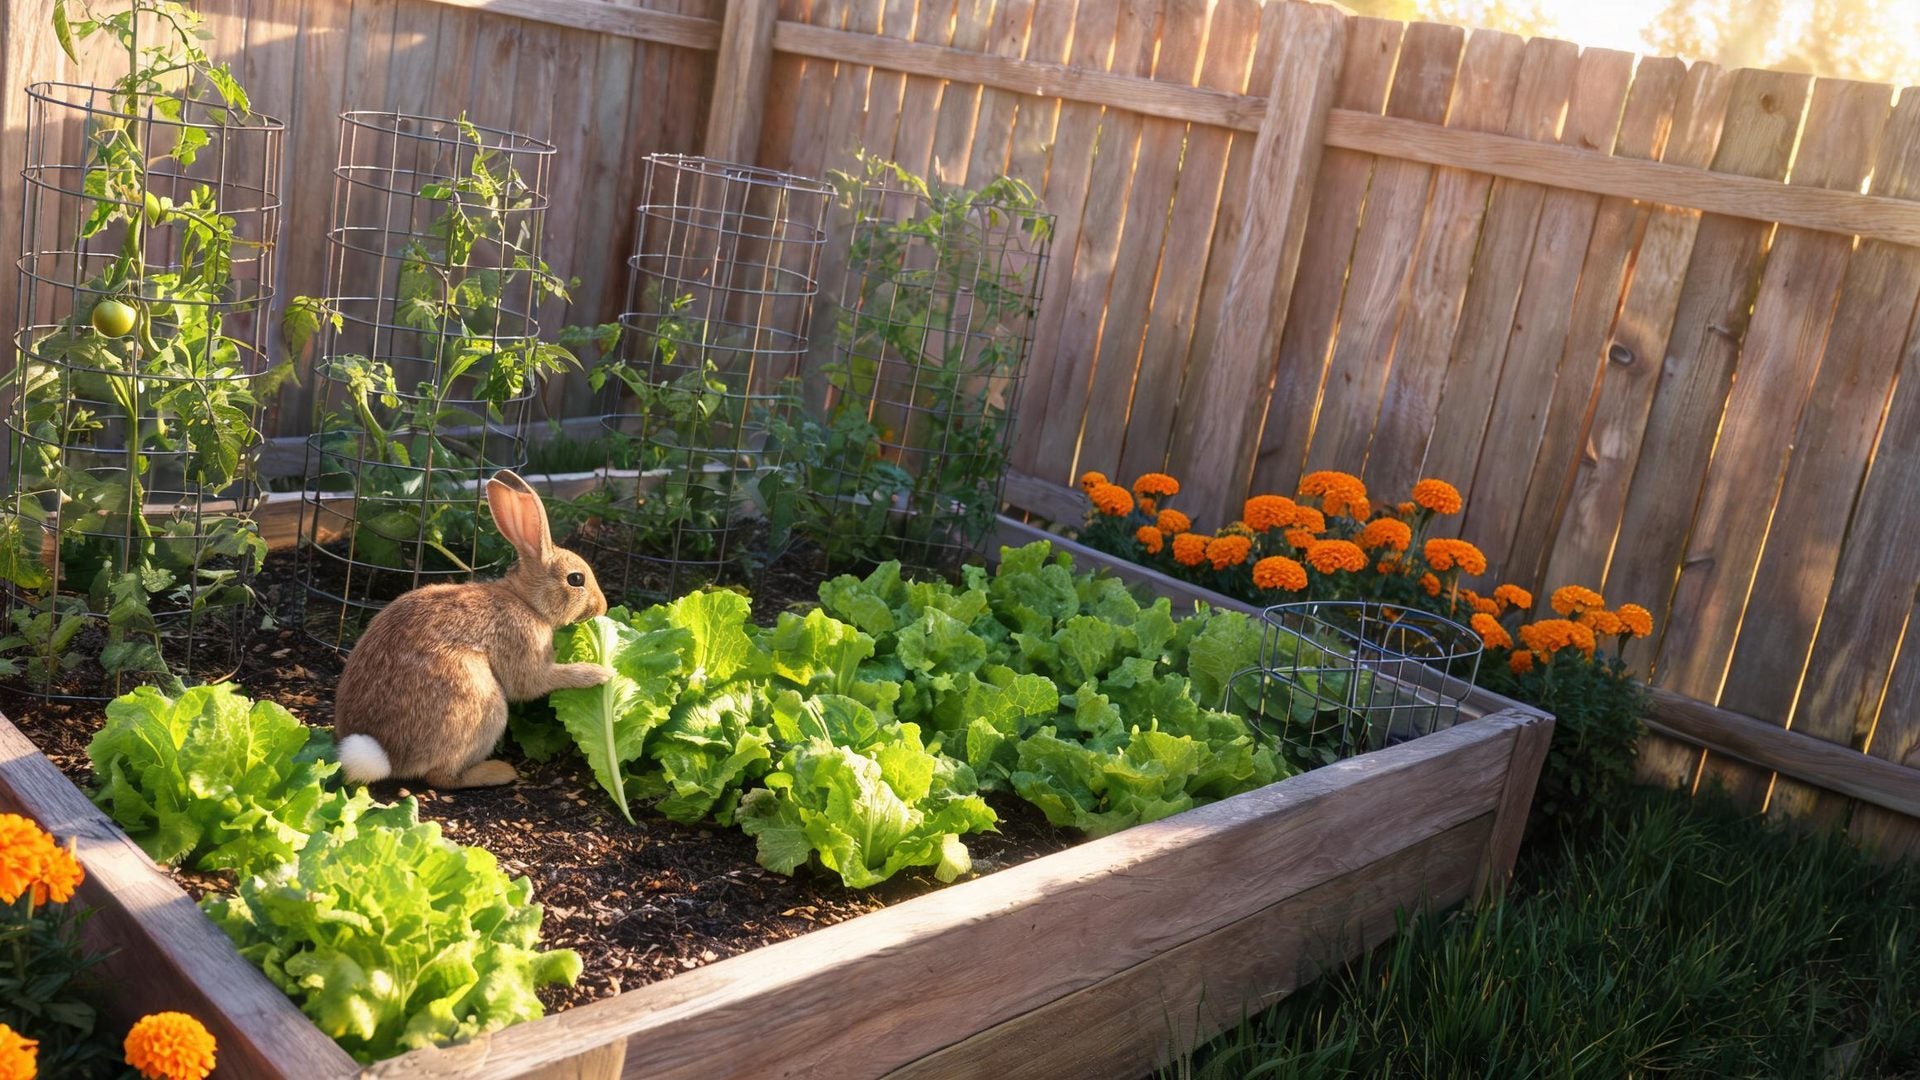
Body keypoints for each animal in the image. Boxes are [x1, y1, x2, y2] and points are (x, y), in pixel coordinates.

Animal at [333, 469, 614, 789]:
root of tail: (387, 755)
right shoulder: (523, 645)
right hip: (479, 700)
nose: (602, 607)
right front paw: (597, 674)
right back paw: (499, 772)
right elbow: (535, 682)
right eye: (576, 579)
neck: (526, 601)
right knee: (441, 777)